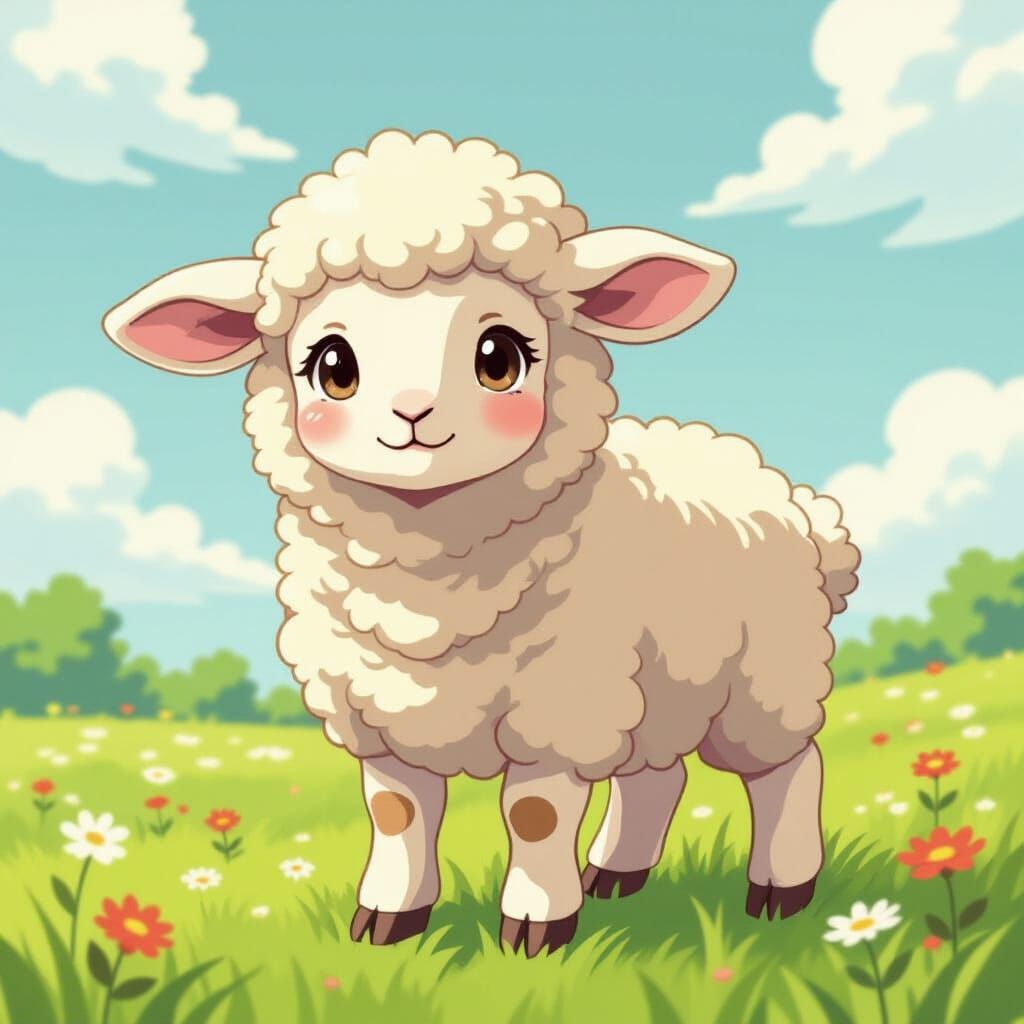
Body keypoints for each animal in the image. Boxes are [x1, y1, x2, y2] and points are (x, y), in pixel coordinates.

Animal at [103, 129, 860, 957]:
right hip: (655, 686)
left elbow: (535, 817)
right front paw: (387, 919)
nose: (412, 416)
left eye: (499, 356)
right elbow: (398, 817)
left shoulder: (558, 710)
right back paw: (615, 874)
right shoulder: (381, 717)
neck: (430, 582)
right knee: (657, 777)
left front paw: (536, 926)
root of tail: (798, 504)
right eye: (333, 367)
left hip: (763, 680)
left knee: (790, 769)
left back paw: (780, 889)